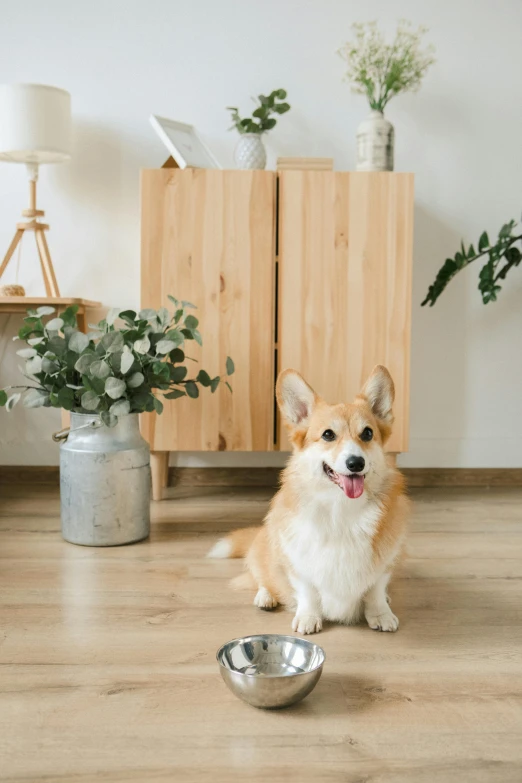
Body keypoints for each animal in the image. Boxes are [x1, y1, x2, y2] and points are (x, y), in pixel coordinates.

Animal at [206, 364, 406, 632]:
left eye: (367, 433)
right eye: (328, 435)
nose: (356, 463)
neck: (341, 508)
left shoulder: (385, 562)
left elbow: (375, 588)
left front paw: (381, 613)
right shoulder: (298, 562)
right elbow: (307, 590)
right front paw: (308, 618)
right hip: (265, 548)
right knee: (260, 577)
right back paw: (265, 597)